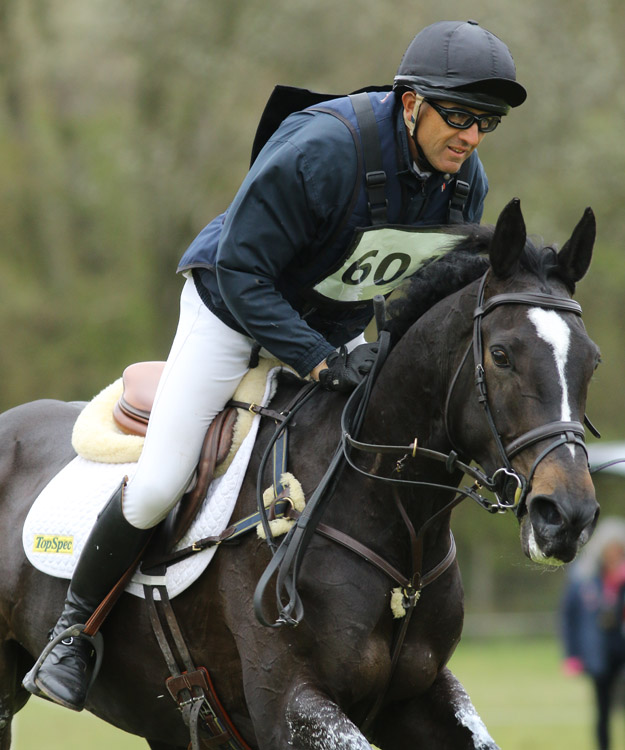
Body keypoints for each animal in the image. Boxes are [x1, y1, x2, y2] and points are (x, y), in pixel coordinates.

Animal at [0, 201, 600, 750]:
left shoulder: (419, 697)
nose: (567, 516)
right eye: (500, 355)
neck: (391, 516)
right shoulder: (290, 702)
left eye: (591, 361)